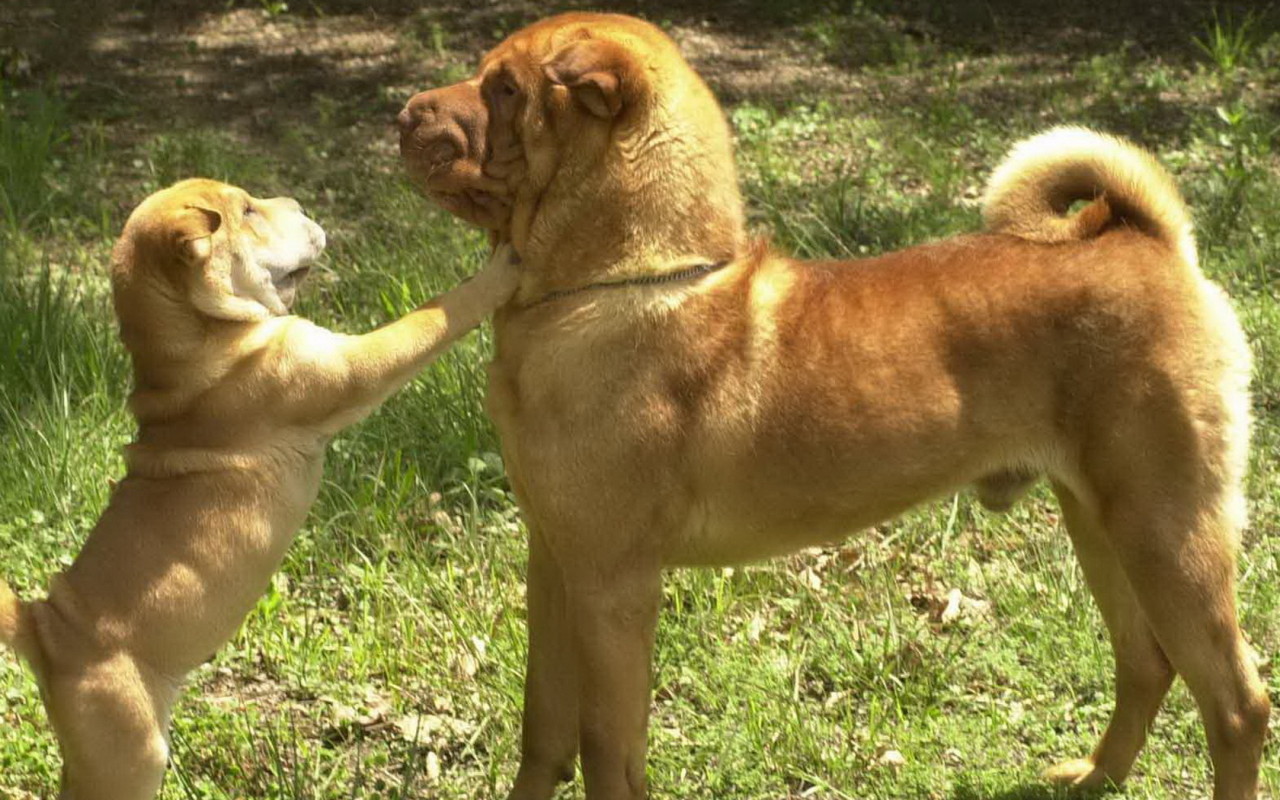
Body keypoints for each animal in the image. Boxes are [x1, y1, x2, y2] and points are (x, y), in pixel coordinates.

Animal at [0, 178, 518, 799]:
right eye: (247, 211)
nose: (296, 202)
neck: (194, 343)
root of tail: (43, 628)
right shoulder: (351, 366)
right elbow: (431, 317)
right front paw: (500, 267)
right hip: (128, 756)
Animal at [398, 12, 1270, 800]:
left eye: (505, 89)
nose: (405, 111)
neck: (620, 281)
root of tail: (1144, 239)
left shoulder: (612, 585)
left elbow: (608, 751)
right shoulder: (555, 562)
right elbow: (544, 731)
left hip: (1166, 530)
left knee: (1236, 704)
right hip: (1100, 522)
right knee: (1146, 663)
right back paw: (1095, 777)